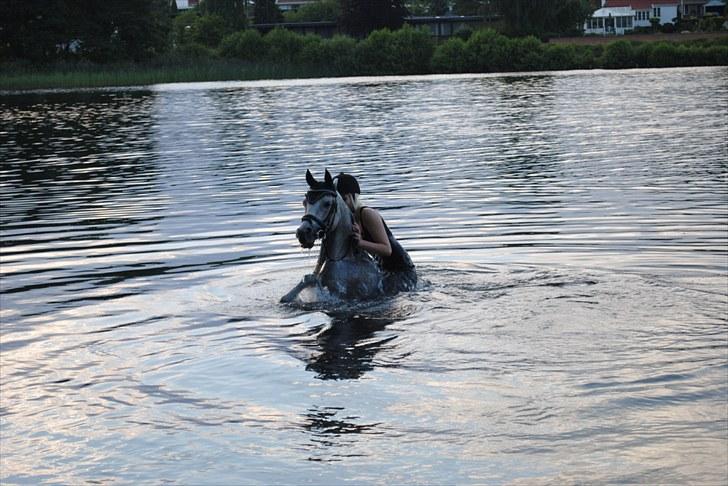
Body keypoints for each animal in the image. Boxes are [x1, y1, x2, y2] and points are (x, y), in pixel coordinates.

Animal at [280, 169, 386, 302]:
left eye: (327, 203)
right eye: (304, 202)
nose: (302, 233)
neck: (342, 259)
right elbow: (308, 279)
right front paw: (287, 297)